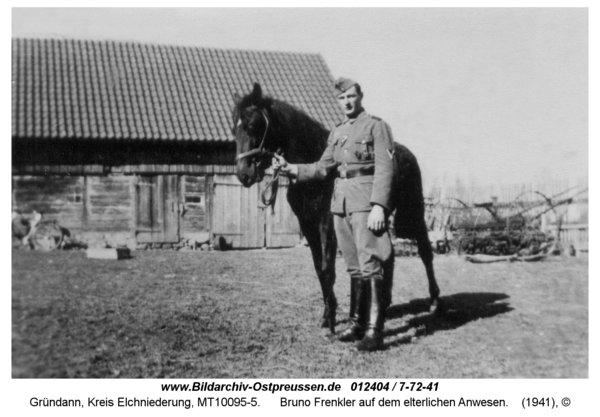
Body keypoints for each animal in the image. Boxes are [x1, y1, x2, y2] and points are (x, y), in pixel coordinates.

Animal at [232, 83, 438, 334]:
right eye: (234, 129)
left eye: (253, 126)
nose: (244, 174)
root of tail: (407, 154)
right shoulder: (308, 225)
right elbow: (319, 268)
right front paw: (327, 315)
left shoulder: (327, 224)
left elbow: (327, 268)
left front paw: (331, 319)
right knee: (387, 256)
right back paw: (384, 305)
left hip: (414, 213)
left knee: (425, 252)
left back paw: (434, 302)